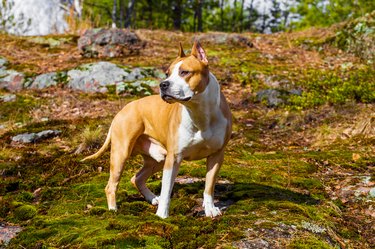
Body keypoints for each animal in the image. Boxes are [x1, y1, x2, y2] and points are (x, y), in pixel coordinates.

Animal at [83, 41, 232, 218]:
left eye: (184, 72)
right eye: (167, 73)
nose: (163, 84)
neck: (199, 111)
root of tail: (123, 109)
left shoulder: (217, 155)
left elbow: (209, 186)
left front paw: (210, 209)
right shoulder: (173, 158)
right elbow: (167, 189)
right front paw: (162, 215)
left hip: (158, 158)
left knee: (137, 178)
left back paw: (152, 198)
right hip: (121, 153)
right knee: (111, 185)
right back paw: (114, 209)